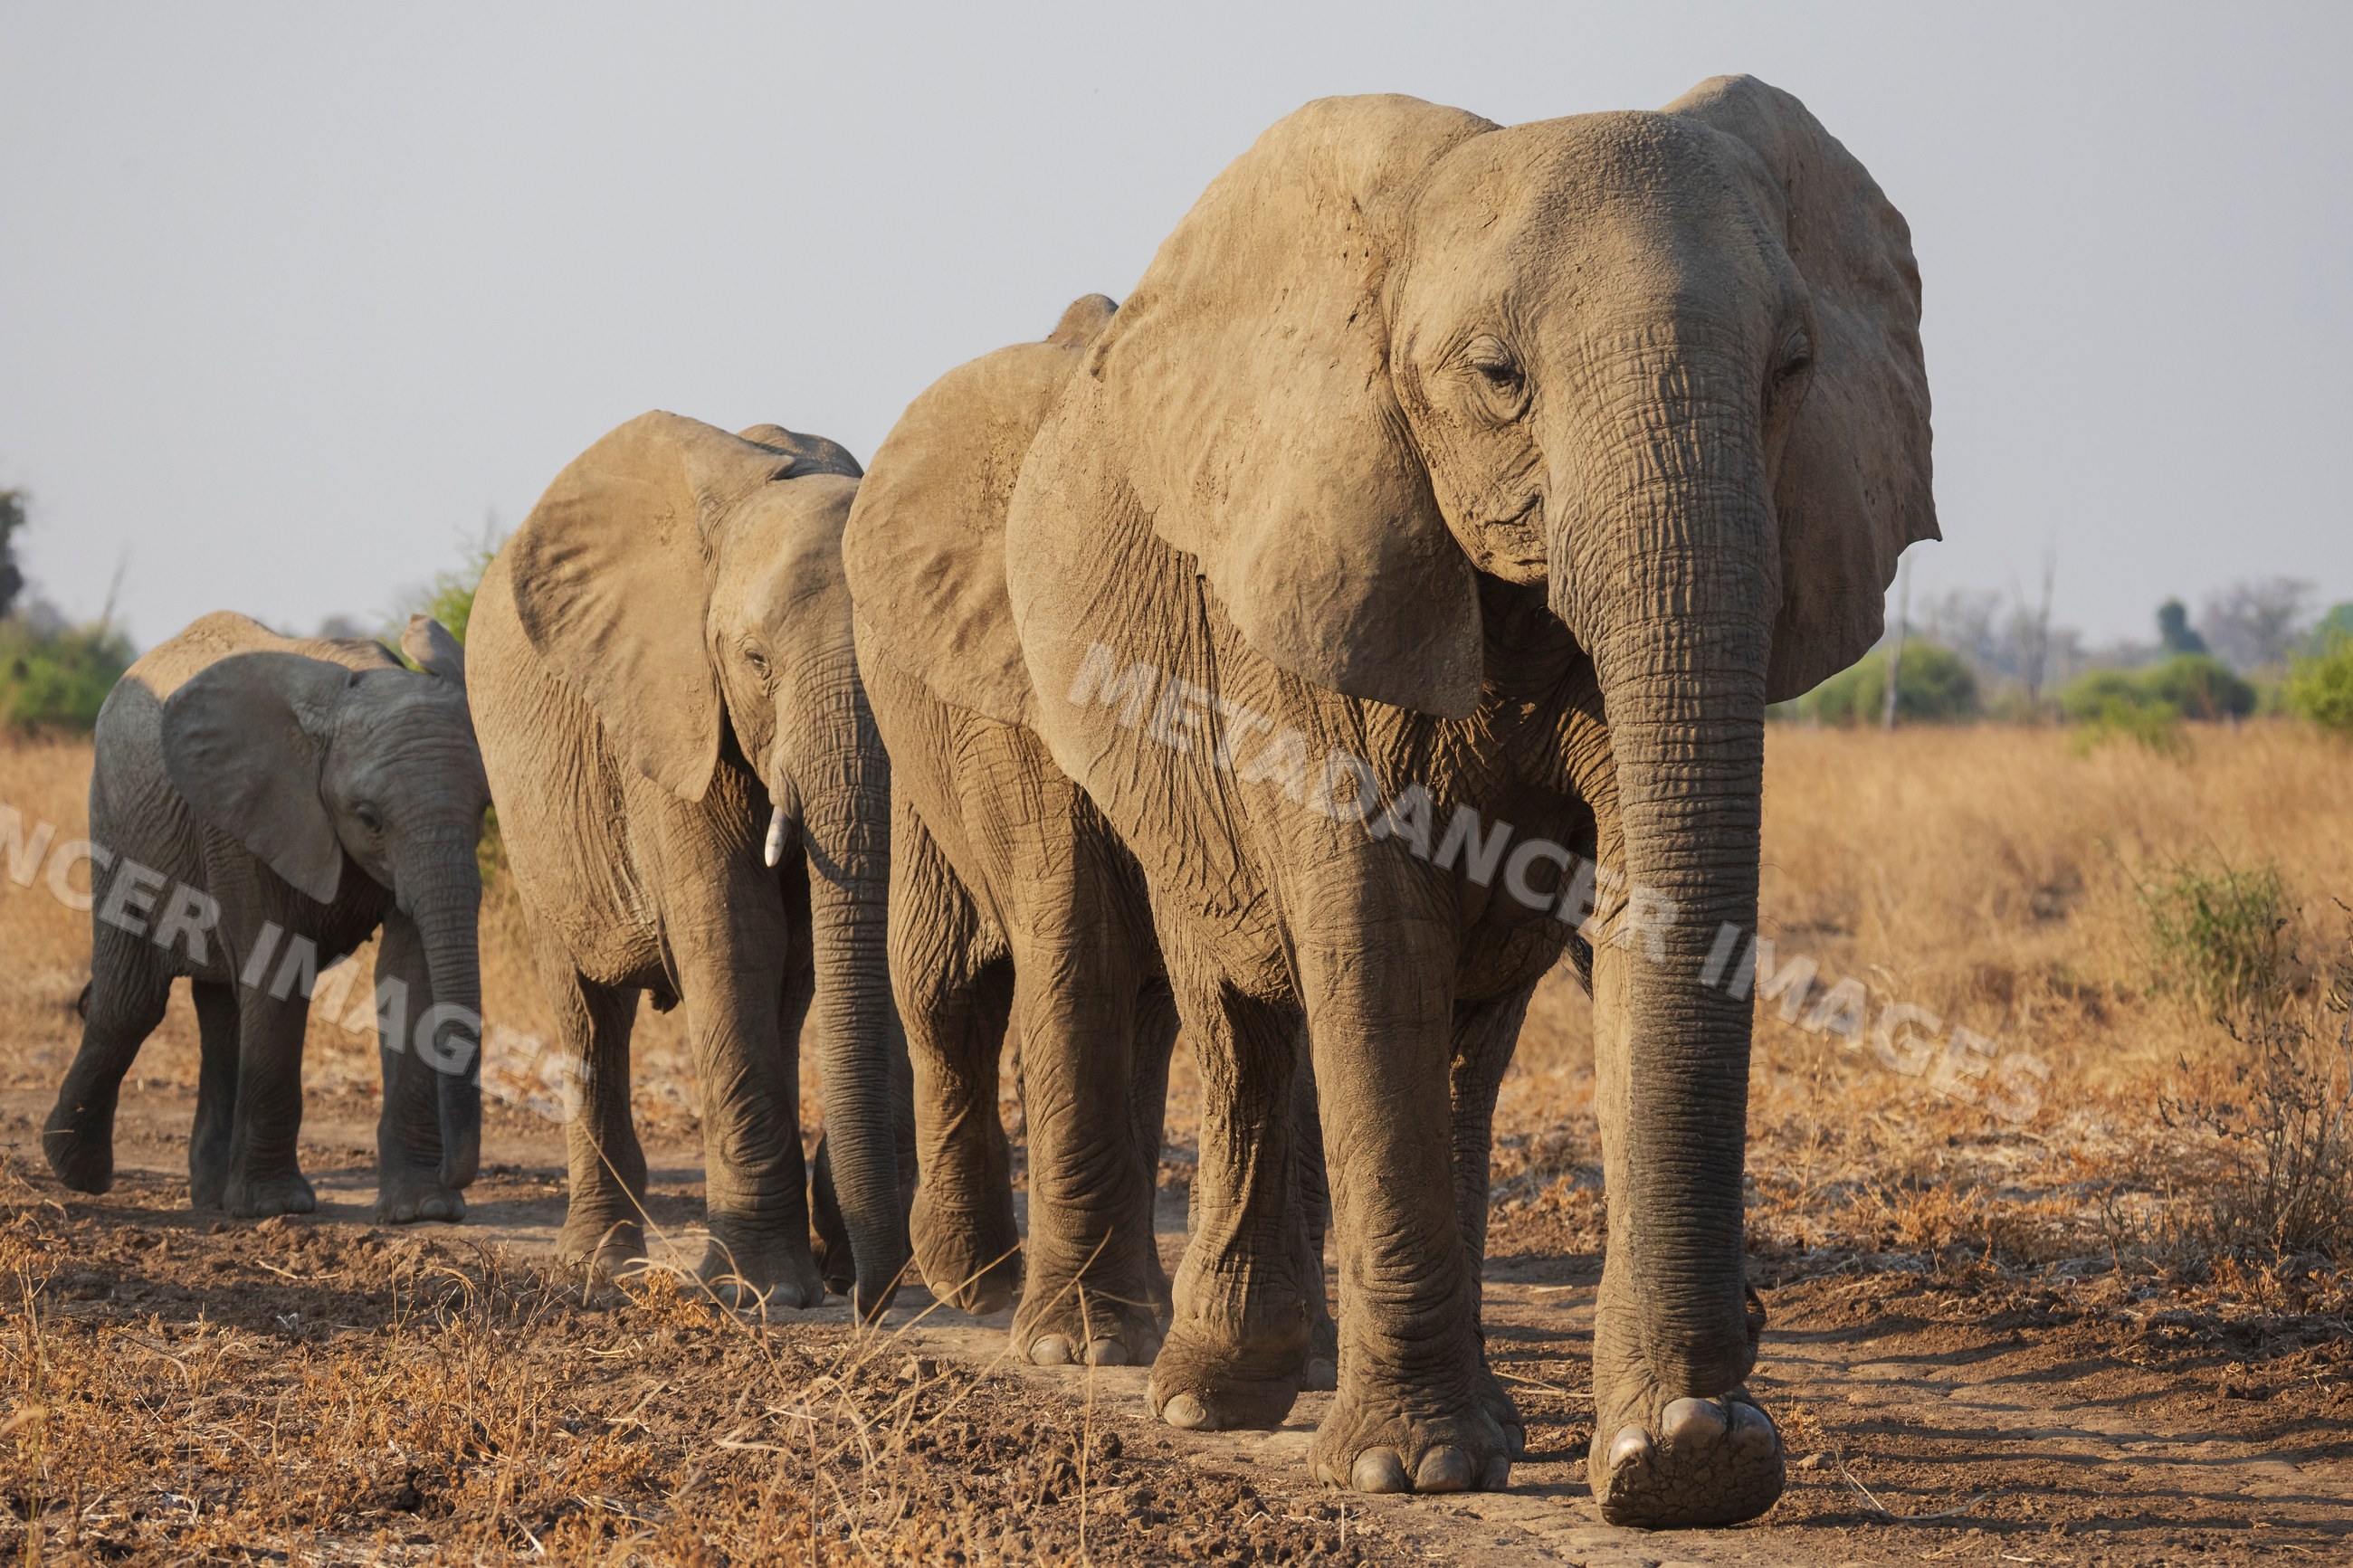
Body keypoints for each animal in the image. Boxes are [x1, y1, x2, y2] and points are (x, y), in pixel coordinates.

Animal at [43, 612, 487, 1223]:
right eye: (368, 818)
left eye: (484, 810)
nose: (457, 1175)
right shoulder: (240, 820)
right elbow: (277, 972)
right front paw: (277, 1206)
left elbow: (409, 977)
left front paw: (423, 1210)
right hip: (116, 819)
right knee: (130, 1003)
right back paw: (78, 1173)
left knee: (221, 1009)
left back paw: (212, 1199)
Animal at [466, 411, 911, 1316]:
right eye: (754, 660)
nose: (861, 1292)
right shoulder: (670, 706)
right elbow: (732, 930)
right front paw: (758, 1291)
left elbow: (800, 948)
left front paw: (796, 1271)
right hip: (529, 820)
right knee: (588, 1010)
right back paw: (598, 1261)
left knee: (782, 992)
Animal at [926, 77, 1928, 1525]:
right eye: (1497, 377)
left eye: (1792, 368)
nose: (1708, 1418)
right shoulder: (1307, 566)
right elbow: (1366, 934)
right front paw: (1413, 1470)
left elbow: (1628, 923)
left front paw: (1675, 1456)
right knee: (1238, 1011)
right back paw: (1212, 1396)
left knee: (1462, 1040)